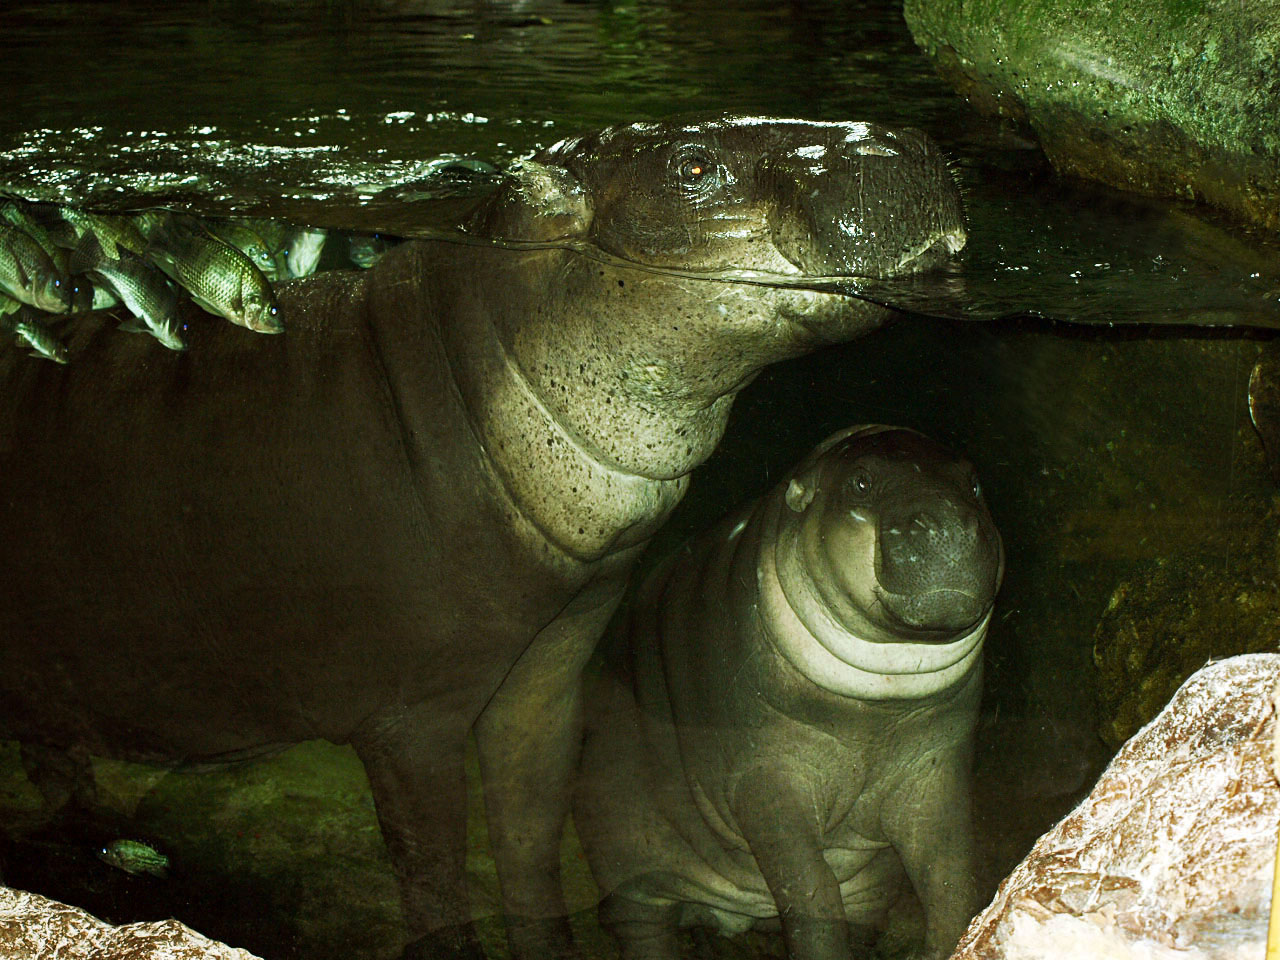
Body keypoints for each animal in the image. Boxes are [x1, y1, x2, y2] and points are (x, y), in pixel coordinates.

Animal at [575, 425, 1004, 960]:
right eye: (861, 481)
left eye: (974, 482)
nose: (950, 521)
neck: (880, 702)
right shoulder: (764, 772)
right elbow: (808, 887)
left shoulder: (936, 764)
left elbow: (949, 874)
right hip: (629, 866)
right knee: (645, 929)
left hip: (869, 895)